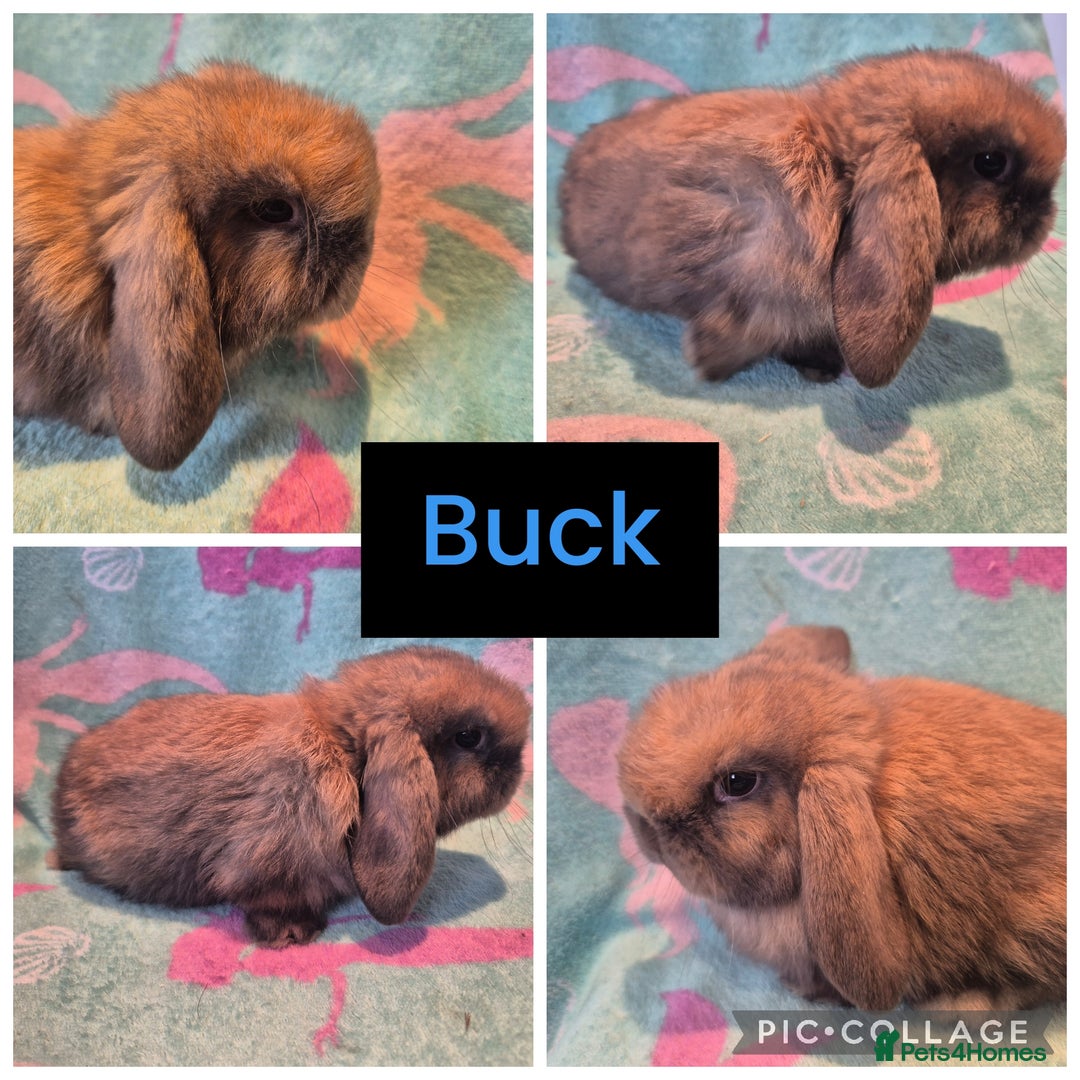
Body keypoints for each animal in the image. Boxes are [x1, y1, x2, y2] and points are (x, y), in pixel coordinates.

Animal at [51, 645, 530, 947]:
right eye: (469, 737)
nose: (518, 771)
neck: (343, 755)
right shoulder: (264, 863)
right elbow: (268, 900)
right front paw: (295, 935)